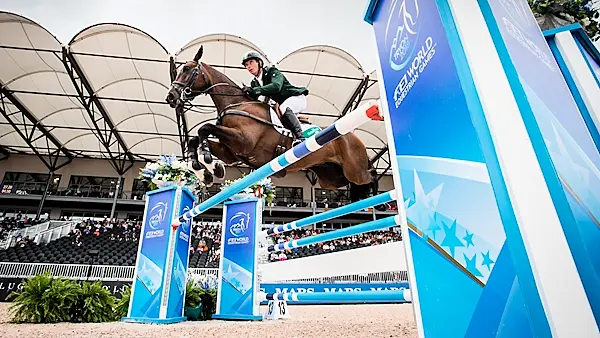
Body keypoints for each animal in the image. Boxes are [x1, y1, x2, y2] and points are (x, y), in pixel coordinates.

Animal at [166, 46, 378, 202]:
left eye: (188, 70)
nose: (171, 97)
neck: (236, 103)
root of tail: (355, 138)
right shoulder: (231, 151)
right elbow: (196, 138)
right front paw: (205, 169)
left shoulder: (244, 141)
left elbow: (205, 128)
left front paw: (209, 161)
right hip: (331, 177)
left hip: (354, 170)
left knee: (370, 176)